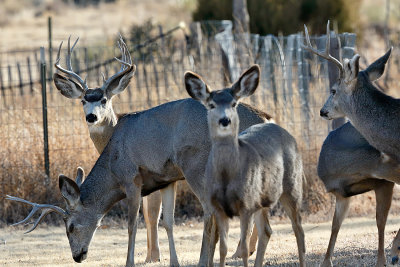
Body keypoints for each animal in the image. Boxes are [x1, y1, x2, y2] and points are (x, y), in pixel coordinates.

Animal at [52, 35, 177, 266]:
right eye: (83, 100)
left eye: (104, 99)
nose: (91, 117)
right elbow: (147, 214)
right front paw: (150, 254)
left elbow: (152, 214)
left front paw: (154, 256)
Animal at [184, 65, 306, 267]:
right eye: (211, 105)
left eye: (234, 104)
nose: (224, 120)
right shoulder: (218, 207)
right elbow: (223, 248)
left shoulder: (246, 205)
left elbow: (242, 248)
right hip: (263, 198)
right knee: (267, 230)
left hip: (291, 187)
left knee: (299, 229)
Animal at [318, 122, 400, 267]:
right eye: (397, 163)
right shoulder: (341, 195)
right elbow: (335, 225)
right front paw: (326, 262)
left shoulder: (383, 183)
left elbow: (380, 221)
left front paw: (381, 261)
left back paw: (395, 252)